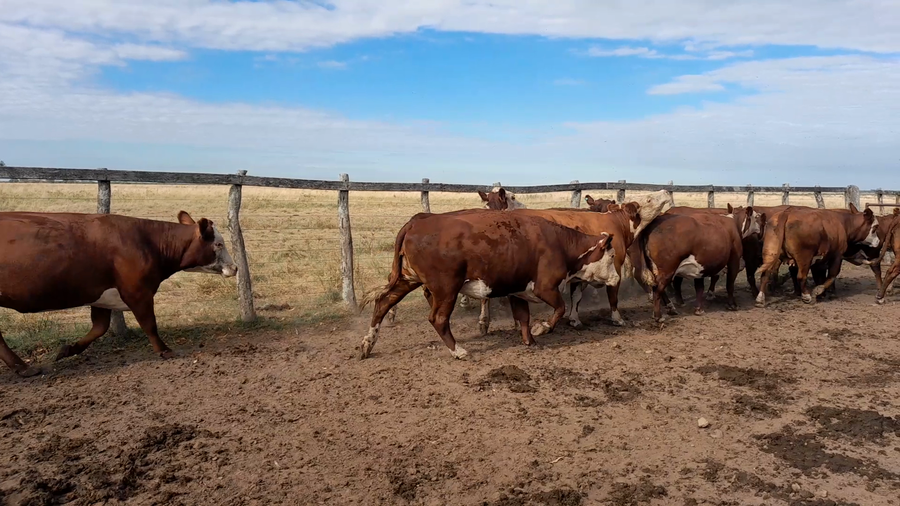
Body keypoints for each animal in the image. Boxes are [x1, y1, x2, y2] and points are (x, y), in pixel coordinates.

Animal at [0, 211, 238, 377]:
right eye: (218, 243)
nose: (234, 268)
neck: (148, 242)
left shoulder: (102, 297)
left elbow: (99, 328)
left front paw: (69, 349)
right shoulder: (138, 292)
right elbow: (149, 324)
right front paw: (164, 350)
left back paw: (22, 367)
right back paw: (22, 367)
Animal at [358, 211, 616, 360]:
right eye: (612, 256)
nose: (616, 279)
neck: (562, 245)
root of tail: (414, 224)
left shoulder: (517, 290)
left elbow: (523, 317)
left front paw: (530, 341)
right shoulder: (545, 288)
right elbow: (559, 310)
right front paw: (542, 329)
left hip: (408, 278)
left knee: (383, 302)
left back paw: (368, 344)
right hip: (446, 288)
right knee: (438, 319)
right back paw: (458, 351)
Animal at [631, 206, 761, 321]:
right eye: (756, 217)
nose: (760, 230)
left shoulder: (701, 266)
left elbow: (699, 287)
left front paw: (699, 309)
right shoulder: (734, 261)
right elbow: (729, 284)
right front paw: (732, 304)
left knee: (656, 287)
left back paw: (669, 308)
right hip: (667, 270)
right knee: (658, 289)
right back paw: (659, 316)